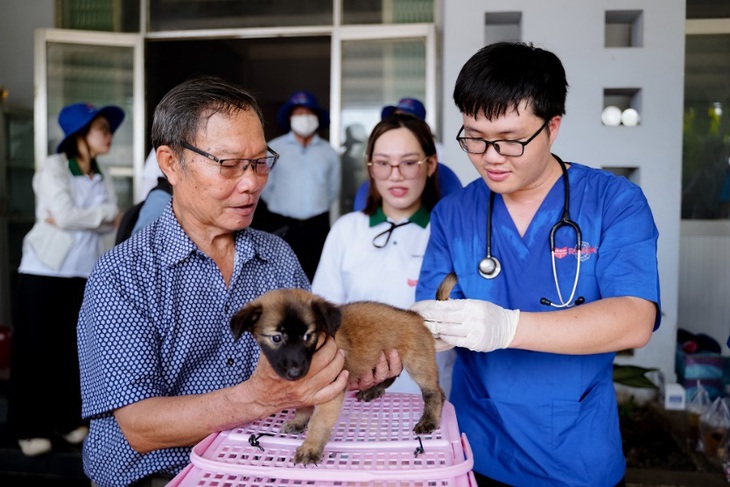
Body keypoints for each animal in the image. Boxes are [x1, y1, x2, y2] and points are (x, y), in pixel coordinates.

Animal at [230, 276, 452, 468]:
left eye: (307, 335)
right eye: (276, 338)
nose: (296, 371)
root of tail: (414, 316)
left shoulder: (332, 393)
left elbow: (318, 422)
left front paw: (310, 447)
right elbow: (304, 406)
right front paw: (298, 421)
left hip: (418, 364)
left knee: (435, 393)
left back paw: (429, 420)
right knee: (392, 376)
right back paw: (373, 390)